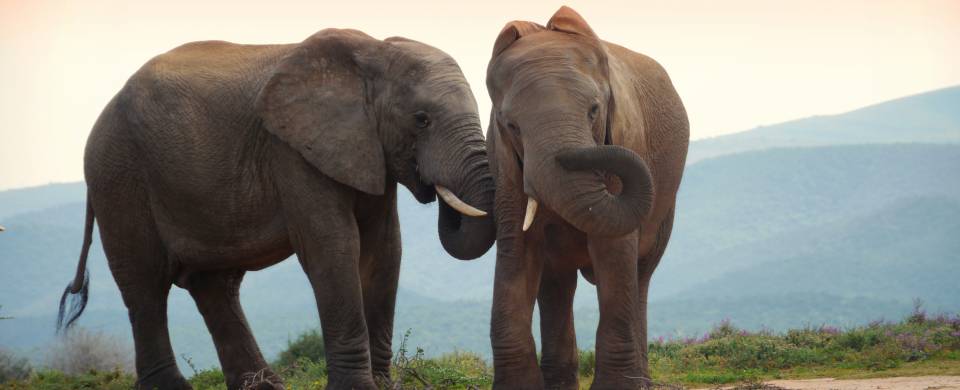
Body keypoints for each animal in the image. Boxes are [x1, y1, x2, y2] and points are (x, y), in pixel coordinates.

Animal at [56, 28, 496, 390]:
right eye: (421, 120)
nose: (433, 186)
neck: (373, 52)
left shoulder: (368, 151)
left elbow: (384, 252)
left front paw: (383, 385)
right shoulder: (292, 151)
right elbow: (333, 247)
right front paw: (358, 388)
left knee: (213, 284)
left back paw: (264, 386)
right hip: (119, 175)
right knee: (145, 283)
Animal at [484, 6, 688, 390]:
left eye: (594, 110)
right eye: (512, 126)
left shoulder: (627, 134)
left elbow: (614, 249)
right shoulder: (504, 163)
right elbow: (516, 248)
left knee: (641, 274)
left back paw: (640, 381)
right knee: (557, 282)